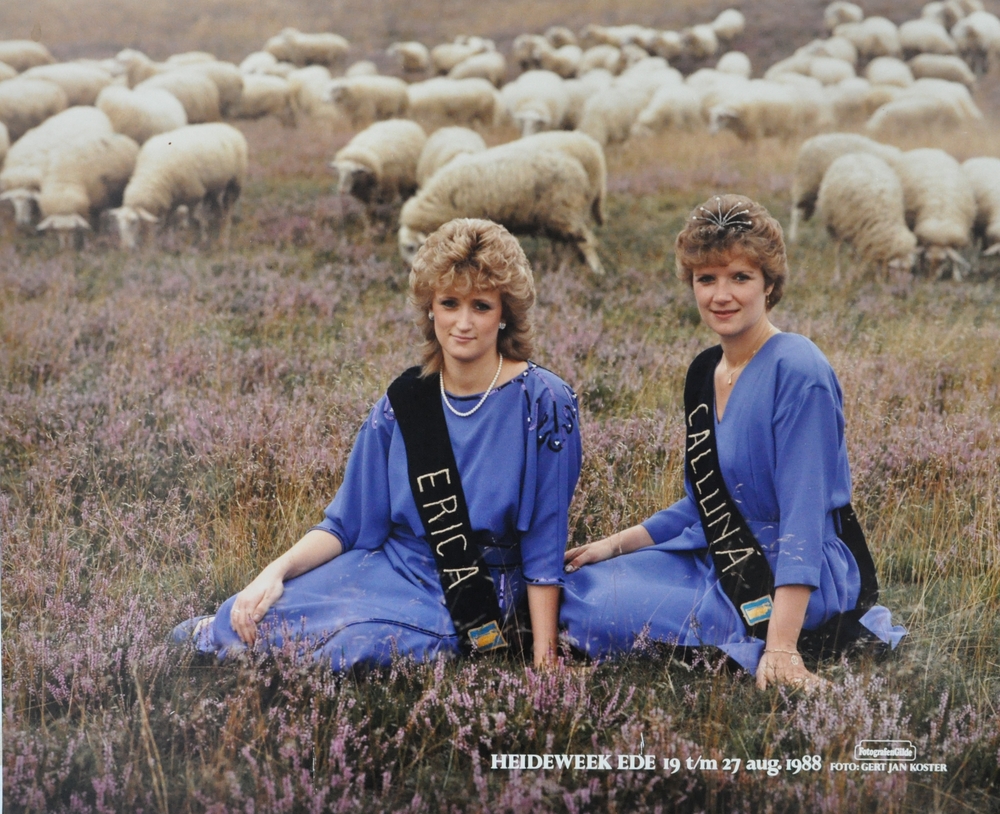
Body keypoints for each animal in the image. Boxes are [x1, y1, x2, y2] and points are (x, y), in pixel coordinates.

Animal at [108, 122, 248, 250]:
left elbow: (194, 220)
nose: (125, 248)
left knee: (228, 207)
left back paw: (224, 233)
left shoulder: (194, 196)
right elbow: (168, 223)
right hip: (212, 188)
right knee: (217, 208)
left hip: (235, 181)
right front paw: (164, 242)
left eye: (134, 221)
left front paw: (198, 239)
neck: (153, 173)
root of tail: (228, 126)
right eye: (118, 223)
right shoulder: (172, 200)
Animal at [398, 146, 604, 274]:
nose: (413, 273)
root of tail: (578, 168)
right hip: (559, 219)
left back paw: (596, 271)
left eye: (411, 247)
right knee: (571, 244)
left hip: (567, 212)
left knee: (587, 241)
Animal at [896, 147, 977, 278]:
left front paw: (956, 275)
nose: (932, 278)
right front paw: (922, 269)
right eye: (929, 260)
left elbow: (954, 258)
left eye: (943, 261)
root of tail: (927, 149)